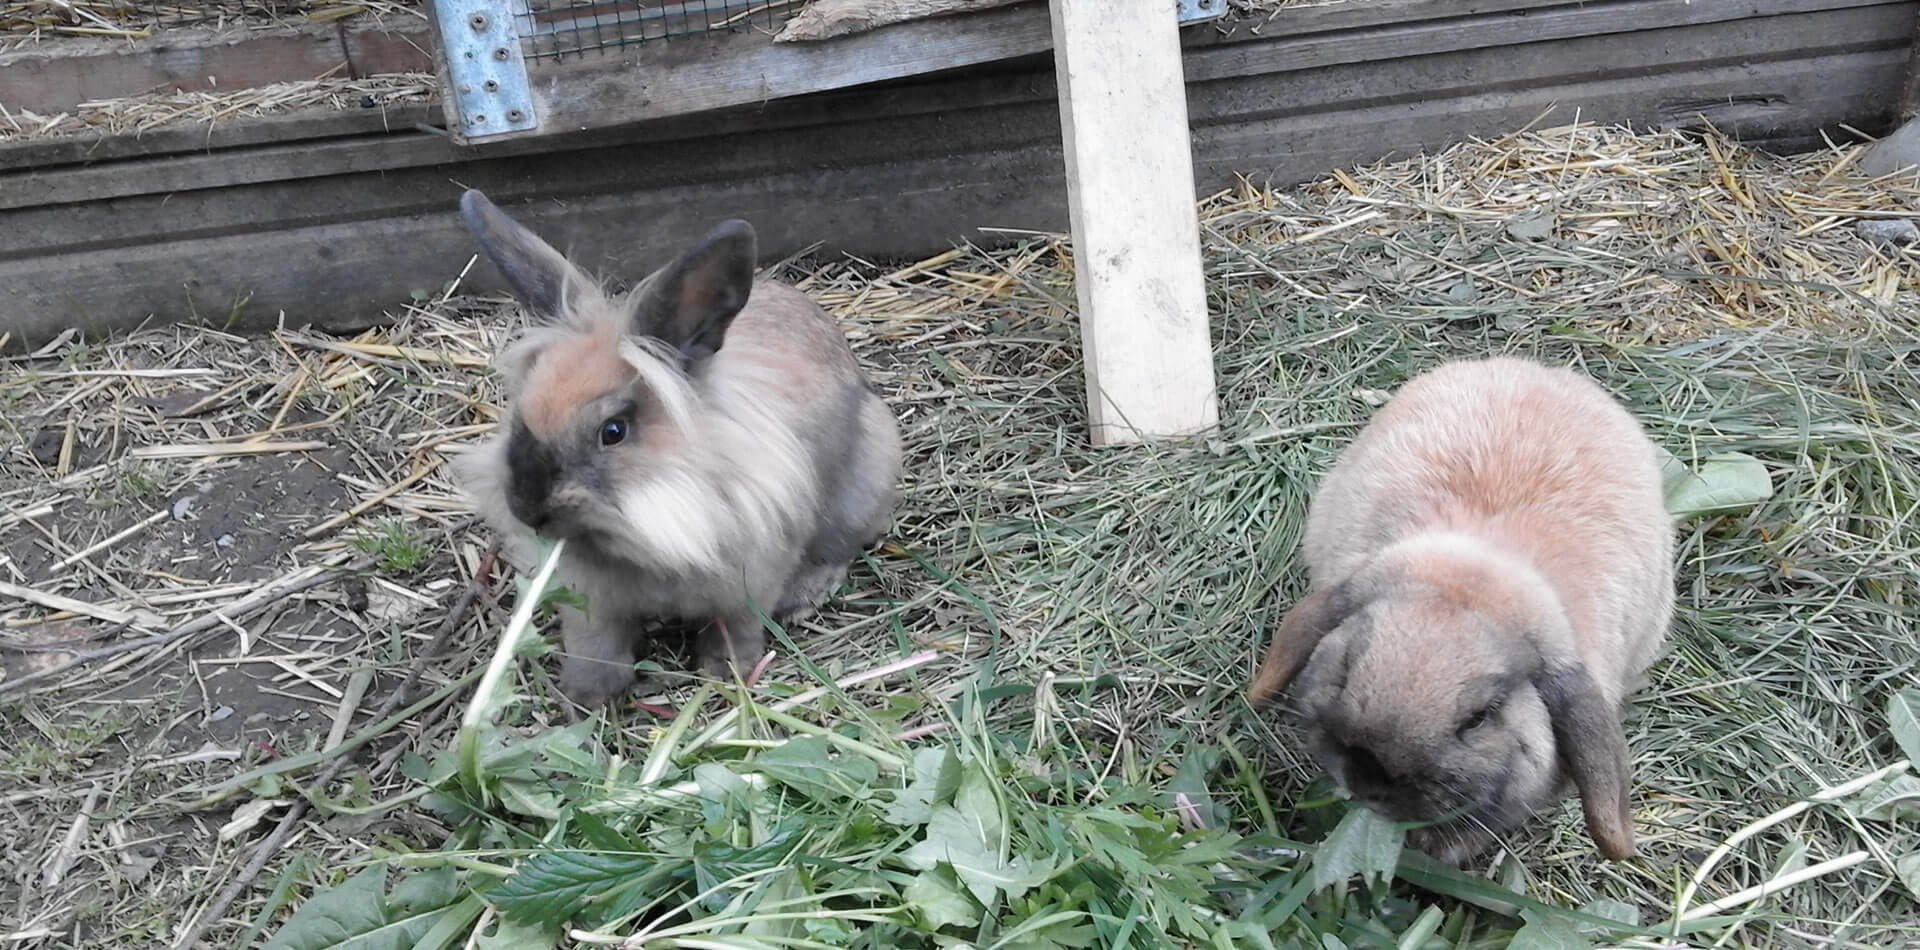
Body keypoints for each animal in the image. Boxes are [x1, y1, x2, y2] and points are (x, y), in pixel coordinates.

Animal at [453, 193, 902, 710]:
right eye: (518, 414)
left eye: (613, 431)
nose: (527, 508)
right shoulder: (590, 601)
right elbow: (596, 645)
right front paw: (586, 697)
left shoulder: (748, 582)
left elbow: (737, 628)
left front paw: (725, 673)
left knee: (840, 547)